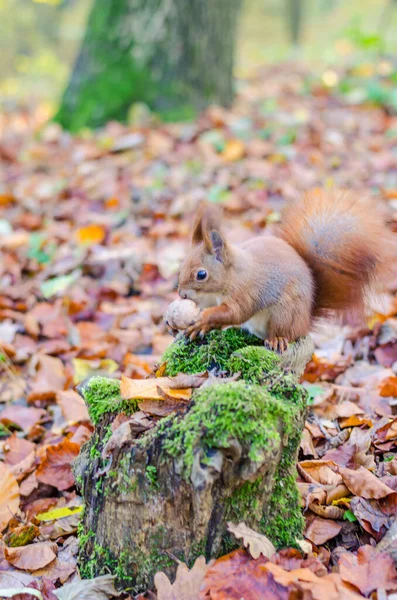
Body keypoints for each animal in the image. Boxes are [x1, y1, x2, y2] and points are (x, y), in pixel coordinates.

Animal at [177, 190, 390, 352]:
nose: (181, 294)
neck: (233, 276)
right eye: (182, 265)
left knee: (286, 333)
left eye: (201, 275)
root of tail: (305, 321)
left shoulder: (246, 292)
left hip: (285, 313)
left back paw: (277, 339)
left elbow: (235, 313)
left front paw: (204, 317)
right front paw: (201, 323)